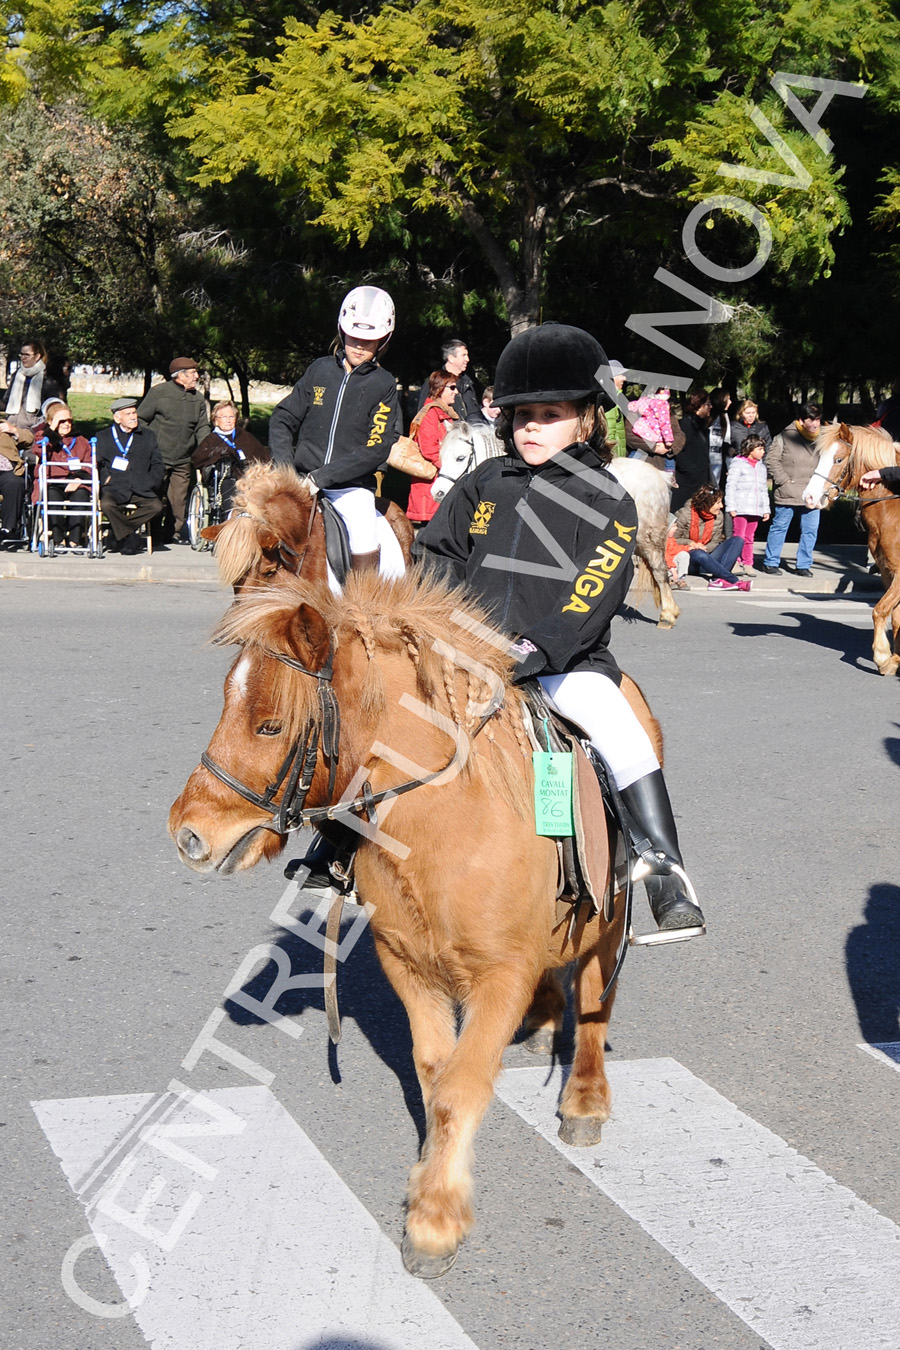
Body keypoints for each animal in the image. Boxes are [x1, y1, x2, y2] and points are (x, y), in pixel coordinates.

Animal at [168, 567, 666, 1274]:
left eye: (268, 725)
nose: (188, 834)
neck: (445, 820)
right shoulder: (407, 964)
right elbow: (436, 1076)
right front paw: (434, 1182)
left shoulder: (499, 977)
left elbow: (461, 1087)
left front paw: (434, 1221)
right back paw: (545, 1022)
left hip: (612, 915)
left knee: (598, 998)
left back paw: (586, 1099)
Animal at [437, 418, 682, 629]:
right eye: (441, 457)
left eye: (460, 458)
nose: (436, 493)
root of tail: (659, 476)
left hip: (649, 537)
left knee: (660, 570)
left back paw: (668, 615)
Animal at [804, 421, 900, 675]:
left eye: (838, 459)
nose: (809, 497)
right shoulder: (888, 572)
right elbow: (895, 617)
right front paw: (895, 659)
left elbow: (880, 610)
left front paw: (883, 657)